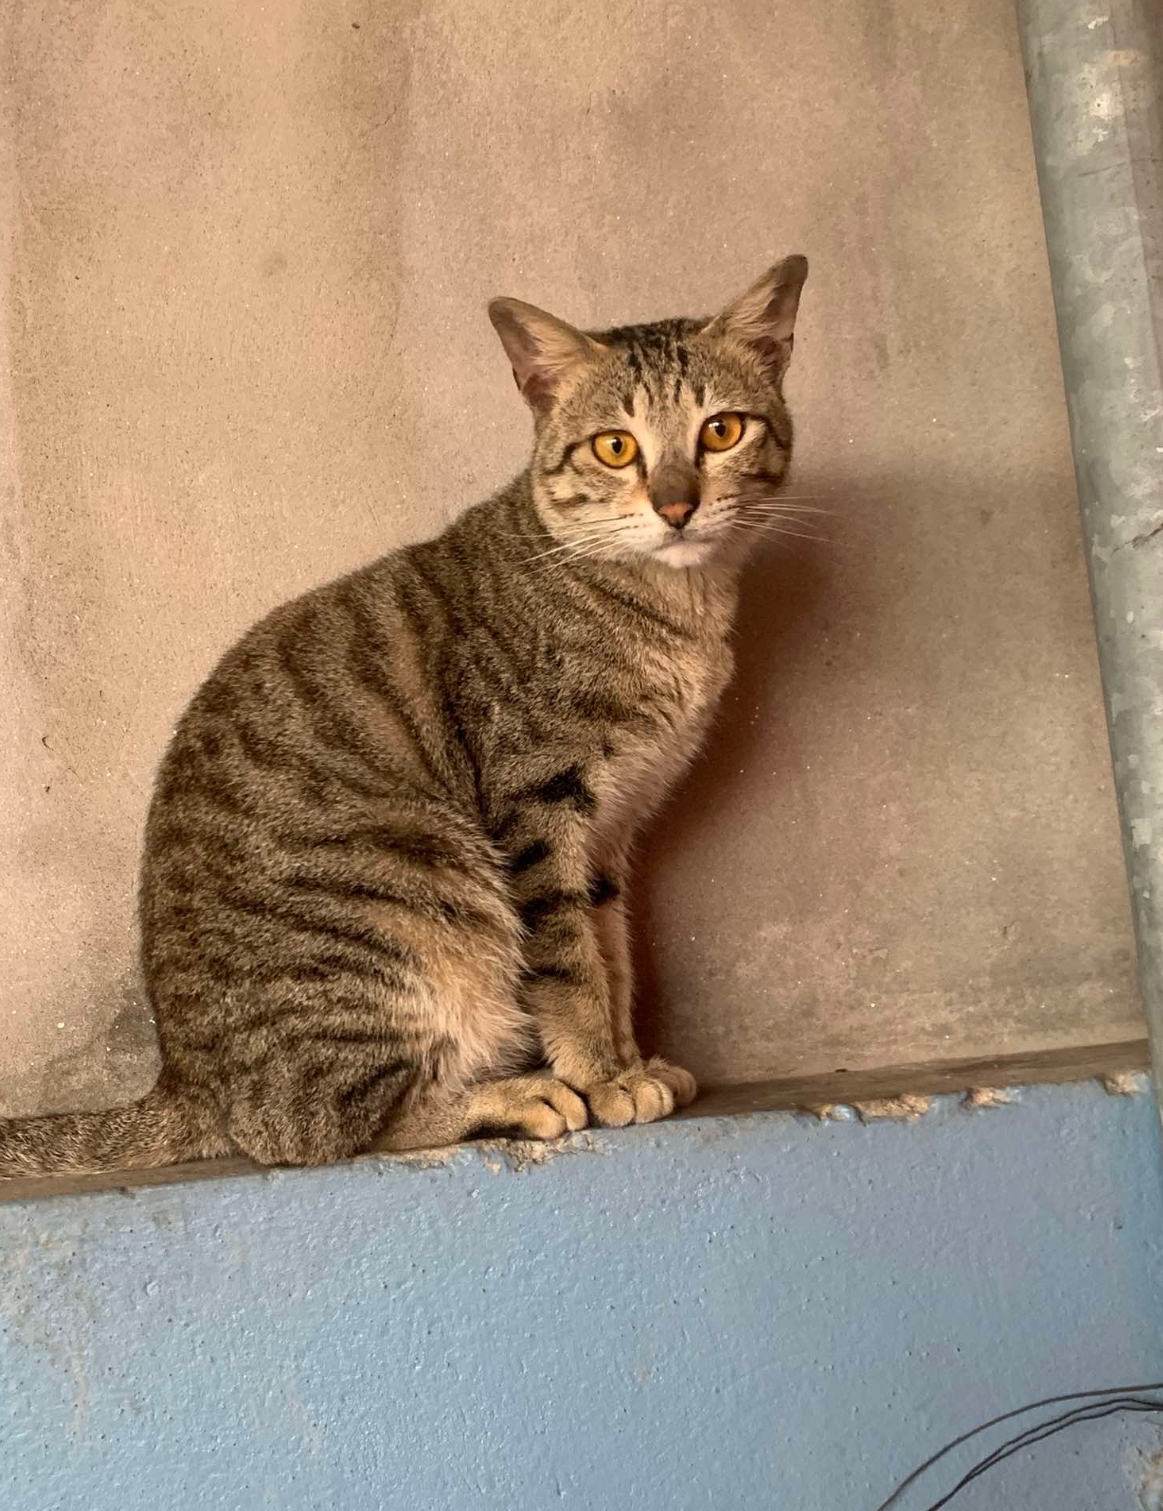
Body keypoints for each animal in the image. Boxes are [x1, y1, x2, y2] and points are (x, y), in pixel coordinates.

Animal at [0, 255, 808, 1177]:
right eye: (615, 445)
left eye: (721, 431)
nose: (676, 504)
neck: (671, 607)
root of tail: (185, 1079)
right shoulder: (539, 803)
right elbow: (570, 962)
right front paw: (602, 1073)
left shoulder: (611, 828)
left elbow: (611, 950)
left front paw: (629, 1056)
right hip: (415, 894)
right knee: (314, 1127)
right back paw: (512, 1094)